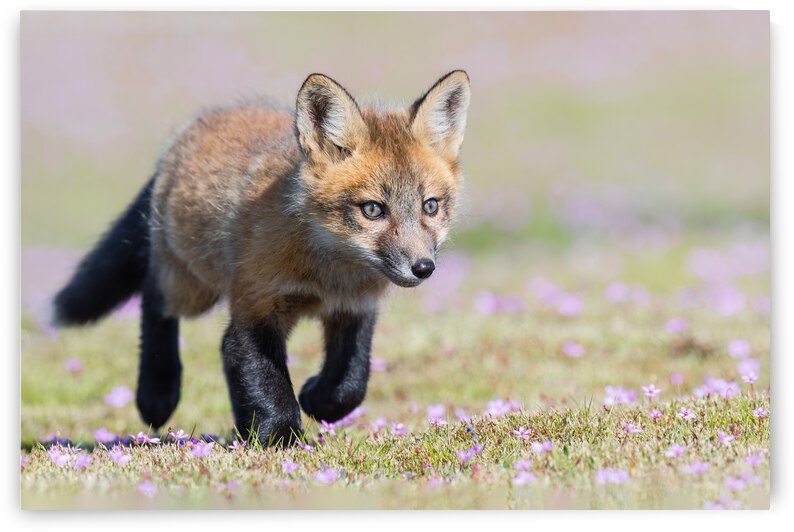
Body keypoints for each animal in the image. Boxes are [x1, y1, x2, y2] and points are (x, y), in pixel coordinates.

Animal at [52, 70, 471, 446]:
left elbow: (349, 384)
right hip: (191, 288)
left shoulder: (354, 309)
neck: (327, 276)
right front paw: (280, 437)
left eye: (430, 206)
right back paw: (157, 392)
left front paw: (314, 399)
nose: (424, 268)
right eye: (372, 210)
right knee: (153, 300)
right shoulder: (255, 309)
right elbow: (264, 379)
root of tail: (192, 128)